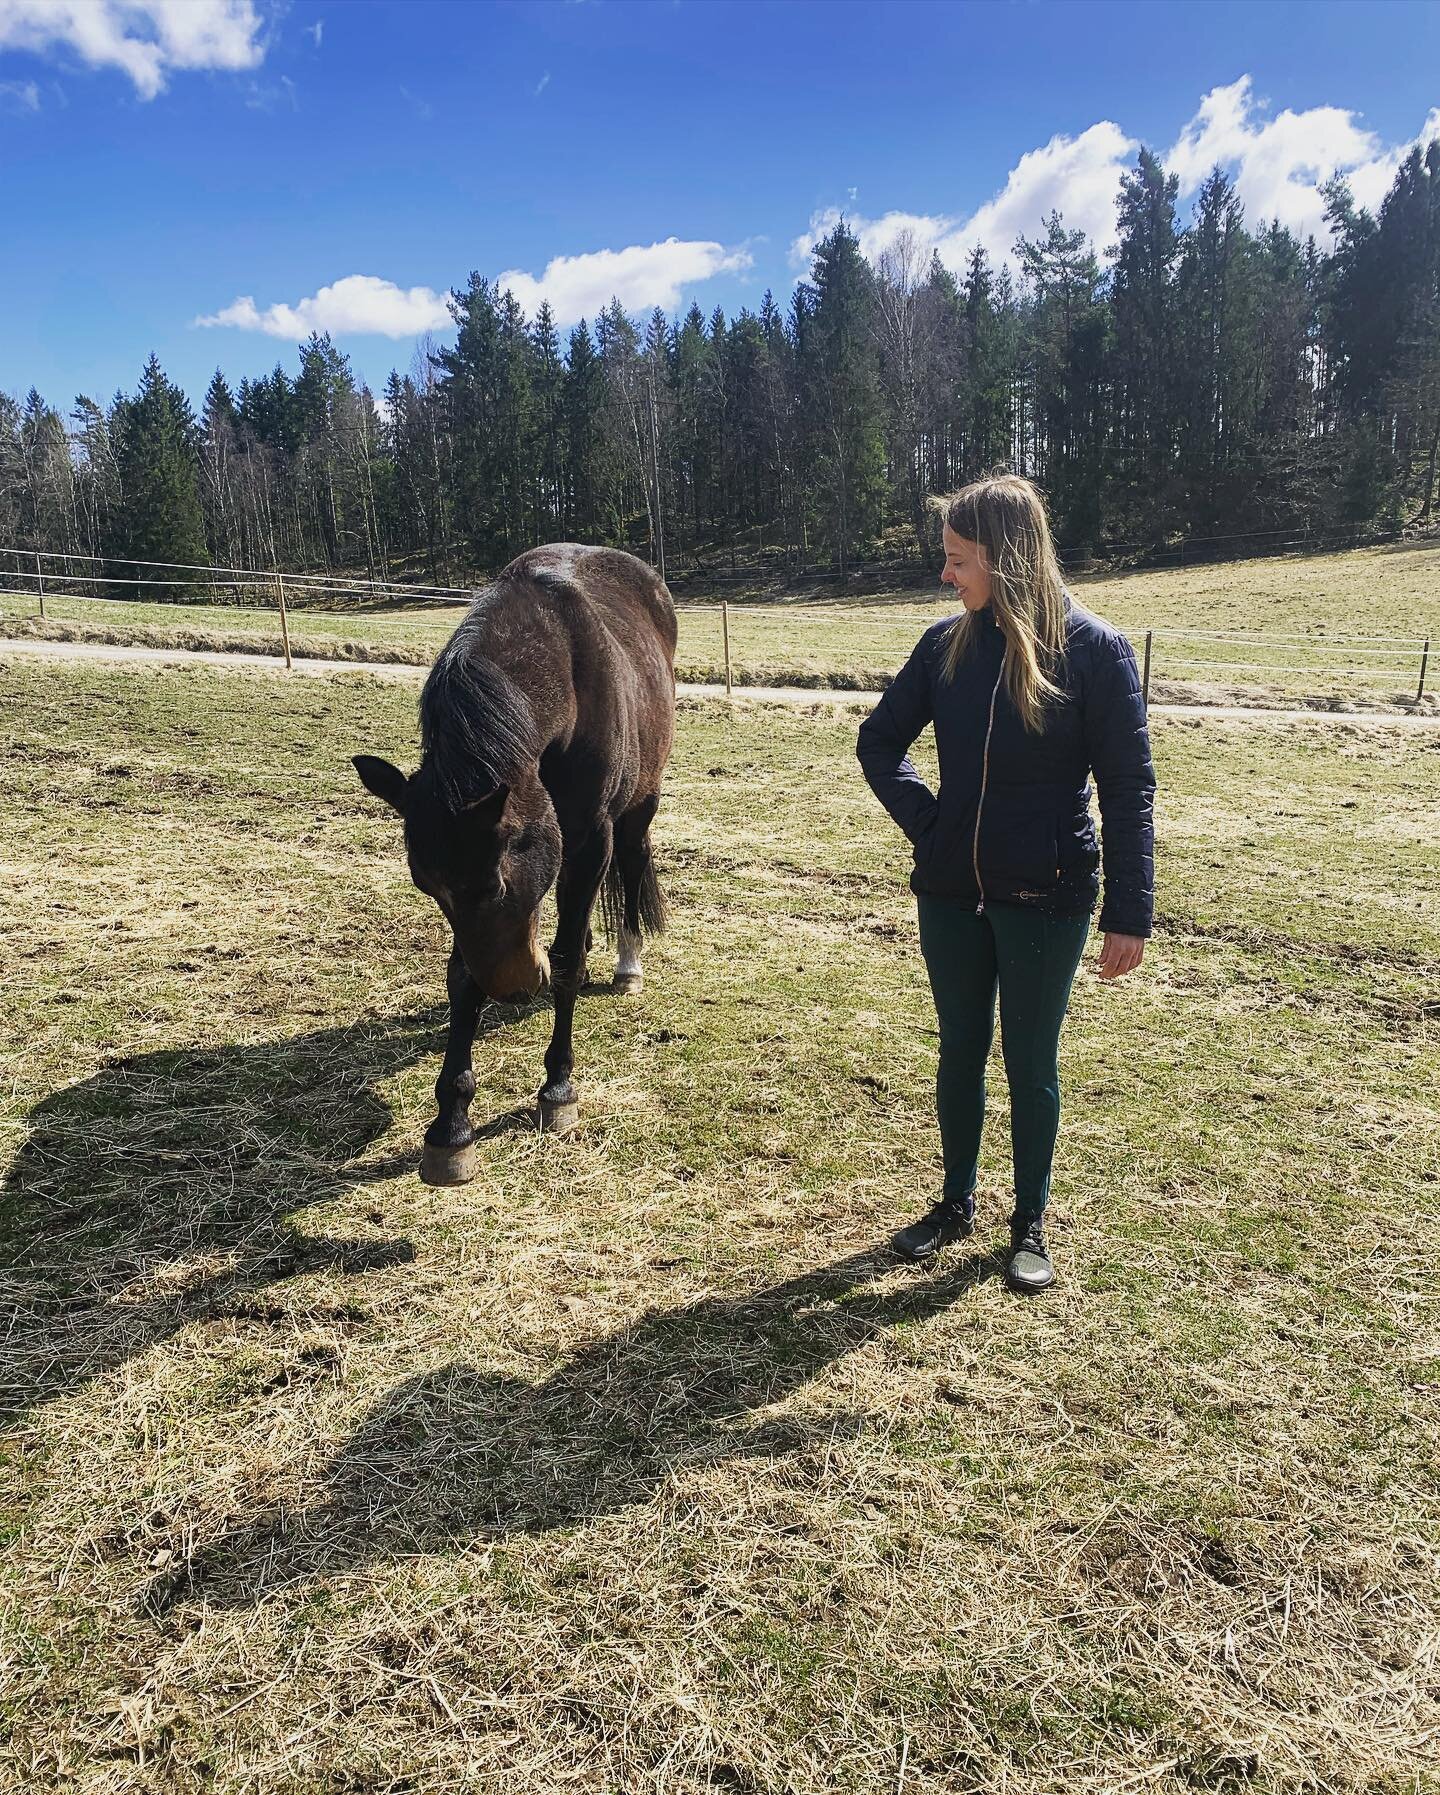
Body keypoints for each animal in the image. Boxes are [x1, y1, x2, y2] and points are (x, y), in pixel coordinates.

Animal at [355, 545, 675, 1191]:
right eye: (426, 886)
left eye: (499, 878)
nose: (513, 987)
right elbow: (461, 977)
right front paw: (450, 1124)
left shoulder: (589, 840)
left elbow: (569, 956)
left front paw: (558, 1088)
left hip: (638, 807)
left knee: (630, 870)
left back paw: (627, 963)